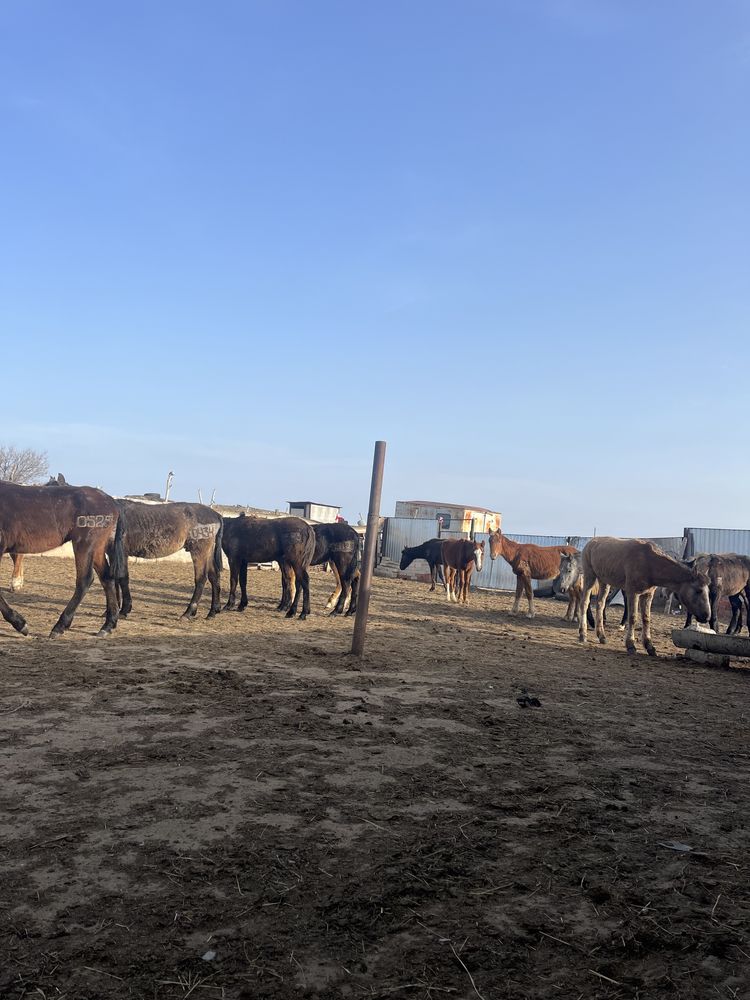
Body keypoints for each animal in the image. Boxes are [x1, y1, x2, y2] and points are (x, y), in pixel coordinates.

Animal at [0, 480, 125, 636]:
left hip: (85, 544)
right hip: (97, 549)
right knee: (107, 578)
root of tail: (111, 501)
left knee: (85, 580)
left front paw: (20, 623)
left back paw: (60, 626)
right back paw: (108, 625)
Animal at [580, 540, 712, 656]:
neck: (649, 562)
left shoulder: (647, 594)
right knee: (585, 603)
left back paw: (601, 636)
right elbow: (633, 618)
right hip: (590, 577)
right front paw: (631, 645)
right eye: (699, 590)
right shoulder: (632, 592)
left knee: (600, 605)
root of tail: (590, 543)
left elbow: (646, 618)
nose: (706, 616)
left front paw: (649, 646)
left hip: (604, 582)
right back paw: (583, 634)